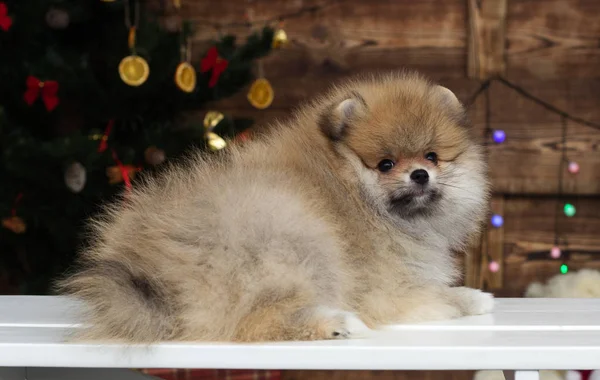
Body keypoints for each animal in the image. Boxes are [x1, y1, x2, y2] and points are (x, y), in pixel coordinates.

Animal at [56, 70, 494, 342]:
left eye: (432, 156)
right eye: (386, 164)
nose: (419, 174)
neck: (353, 189)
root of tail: (154, 278)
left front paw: (472, 296)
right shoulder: (386, 288)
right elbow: (432, 297)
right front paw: (464, 299)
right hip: (294, 238)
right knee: (252, 323)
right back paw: (335, 323)